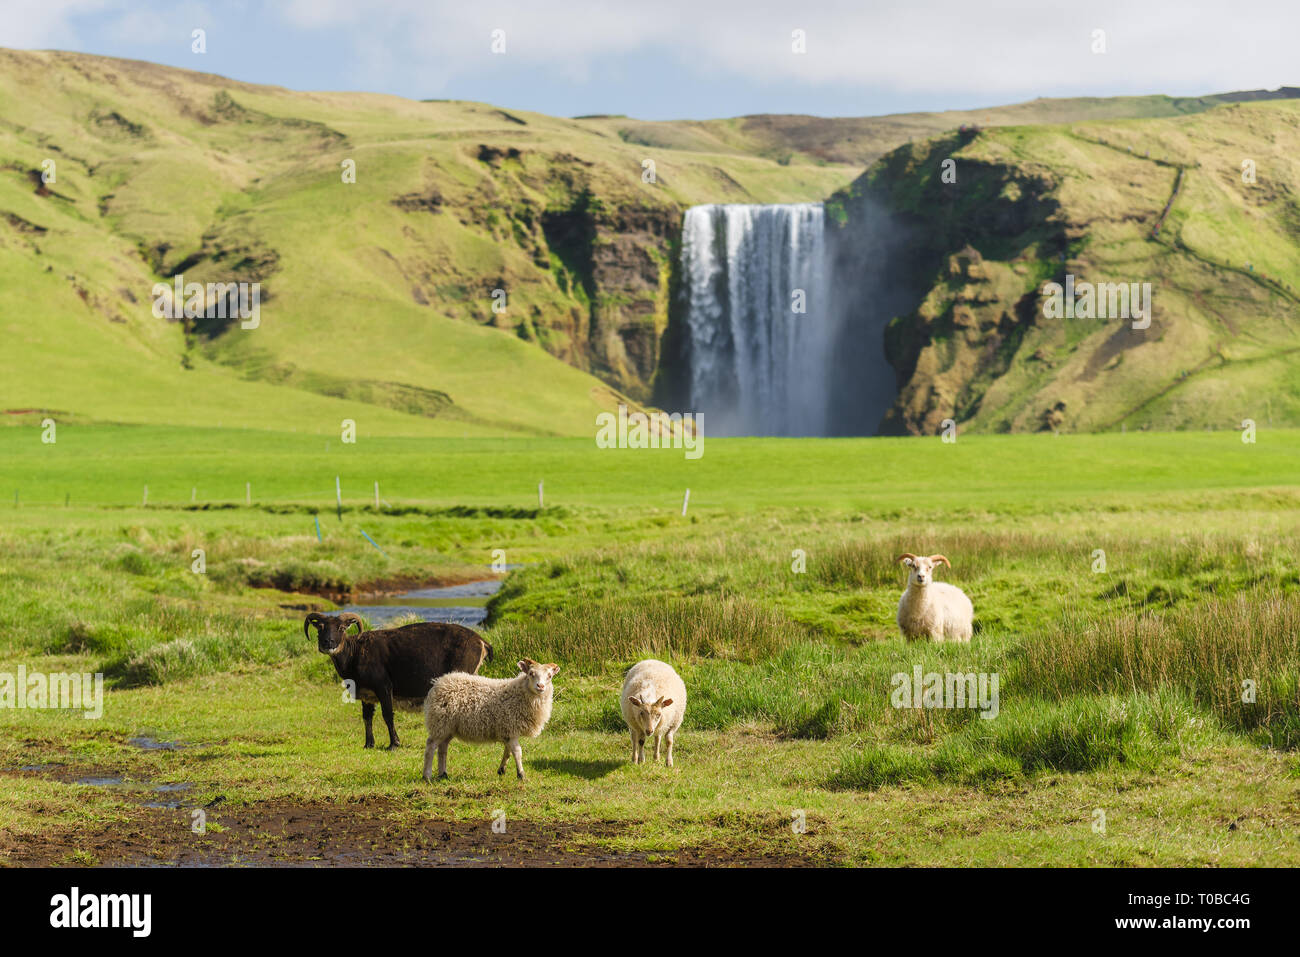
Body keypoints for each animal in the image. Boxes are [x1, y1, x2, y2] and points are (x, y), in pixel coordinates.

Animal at [304, 613, 491, 748]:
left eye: (342, 627)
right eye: (320, 627)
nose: (328, 642)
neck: (355, 653)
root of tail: (481, 641)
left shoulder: (384, 686)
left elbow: (387, 715)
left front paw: (394, 744)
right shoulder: (366, 693)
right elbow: (367, 717)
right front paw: (368, 744)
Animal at [418, 657, 556, 785]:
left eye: (549, 676)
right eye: (531, 673)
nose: (541, 686)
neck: (520, 694)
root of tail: (439, 682)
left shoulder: (507, 731)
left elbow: (508, 752)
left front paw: (502, 770)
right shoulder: (510, 727)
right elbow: (517, 752)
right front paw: (521, 775)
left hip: (448, 727)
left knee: (442, 748)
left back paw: (443, 774)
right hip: (439, 722)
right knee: (430, 746)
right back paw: (427, 776)